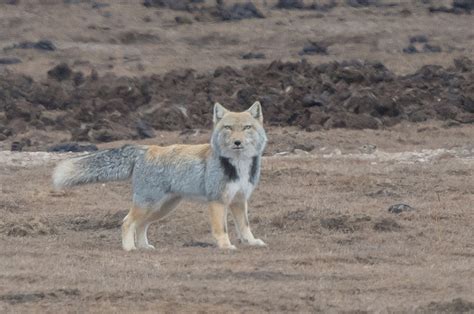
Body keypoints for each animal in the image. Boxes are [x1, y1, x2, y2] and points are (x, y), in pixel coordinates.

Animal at [52, 102, 266, 251]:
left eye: (247, 128)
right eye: (228, 128)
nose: (237, 142)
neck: (238, 165)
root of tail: (147, 148)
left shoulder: (239, 200)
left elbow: (245, 226)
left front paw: (251, 241)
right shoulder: (217, 201)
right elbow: (221, 229)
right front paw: (225, 246)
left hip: (161, 208)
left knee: (141, 225)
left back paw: (143, 246)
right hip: (149, 204)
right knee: (127, 222)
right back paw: (129, 248)